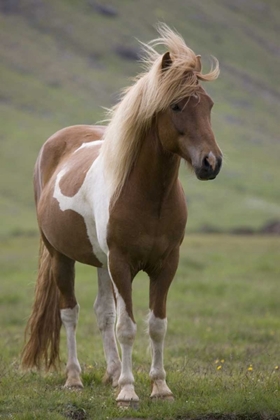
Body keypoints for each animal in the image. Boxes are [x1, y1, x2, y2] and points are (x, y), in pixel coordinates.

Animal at [21, 23, 223, 406]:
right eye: (176, 105)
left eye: (209, 104)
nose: (211, 162)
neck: (148, 197)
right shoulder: (122, 263)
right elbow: (127, 327)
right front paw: (129, 392)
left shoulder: (165, 264)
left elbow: (156, 325)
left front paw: (159, 387)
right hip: (62, 257)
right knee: (70, 313)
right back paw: (75, 378)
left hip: (100, 262)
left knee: (102, 312)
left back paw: (112, 373)